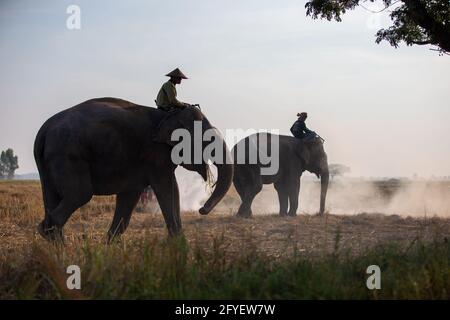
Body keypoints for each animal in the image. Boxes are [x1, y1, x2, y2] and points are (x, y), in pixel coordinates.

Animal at [33, 96, 234, 241]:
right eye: (207, 141)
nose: (202, 209)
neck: (169, 115)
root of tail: (44, 130)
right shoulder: (156, 155)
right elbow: (168, 188)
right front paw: (179, 246)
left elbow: (130, 197)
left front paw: (109, 249)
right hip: (68, 154)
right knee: (79, 194)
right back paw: (61, 251)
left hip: (50, 161)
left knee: (52, 198)